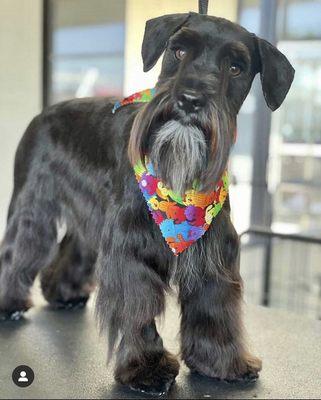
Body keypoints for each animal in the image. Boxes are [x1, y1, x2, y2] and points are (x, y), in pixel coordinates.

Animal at [0, 10, 292, 396]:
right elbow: (138, 309)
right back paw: (9, 302)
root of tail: (43, 114)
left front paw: (223, 364)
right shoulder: (131, 248)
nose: (189, 99)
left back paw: (64, 292)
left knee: (73, 246)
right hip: (32, 205)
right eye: (178, 51)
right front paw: (146, 370)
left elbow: (215, 309)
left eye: (235, 67)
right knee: (18, 250)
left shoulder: (214, 256)